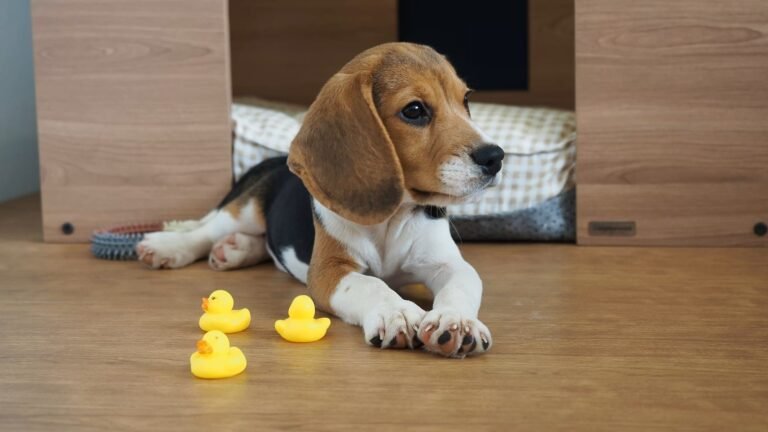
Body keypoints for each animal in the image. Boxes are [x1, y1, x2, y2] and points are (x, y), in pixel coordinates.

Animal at [137, 42, 504, 358]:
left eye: (466, 100)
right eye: (414, 110)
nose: (495, 157)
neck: (391, 217)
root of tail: (273, 163)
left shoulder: (448, 263)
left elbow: (462, 286)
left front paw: (456, 322)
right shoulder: (328, 269)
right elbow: (371, 284)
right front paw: (396, 311)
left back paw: (235, 249)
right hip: (244, 210)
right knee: (206, 230)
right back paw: (169, 247)